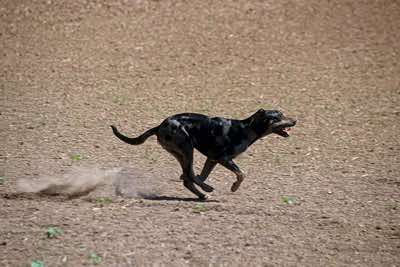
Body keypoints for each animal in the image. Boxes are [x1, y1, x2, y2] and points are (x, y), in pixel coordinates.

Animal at [111, 108, 296, 199]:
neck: (246, 129)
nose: (295, 120)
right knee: (188, 176)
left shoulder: (212, 159)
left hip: (181, 153)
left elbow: (202, 174)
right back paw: (207, 189)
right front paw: (234, 187)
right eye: (278, 116)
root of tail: (159, 126)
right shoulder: (222, 158)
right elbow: (241, 174)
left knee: (188, 177)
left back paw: (202, 193)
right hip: (187, 148)